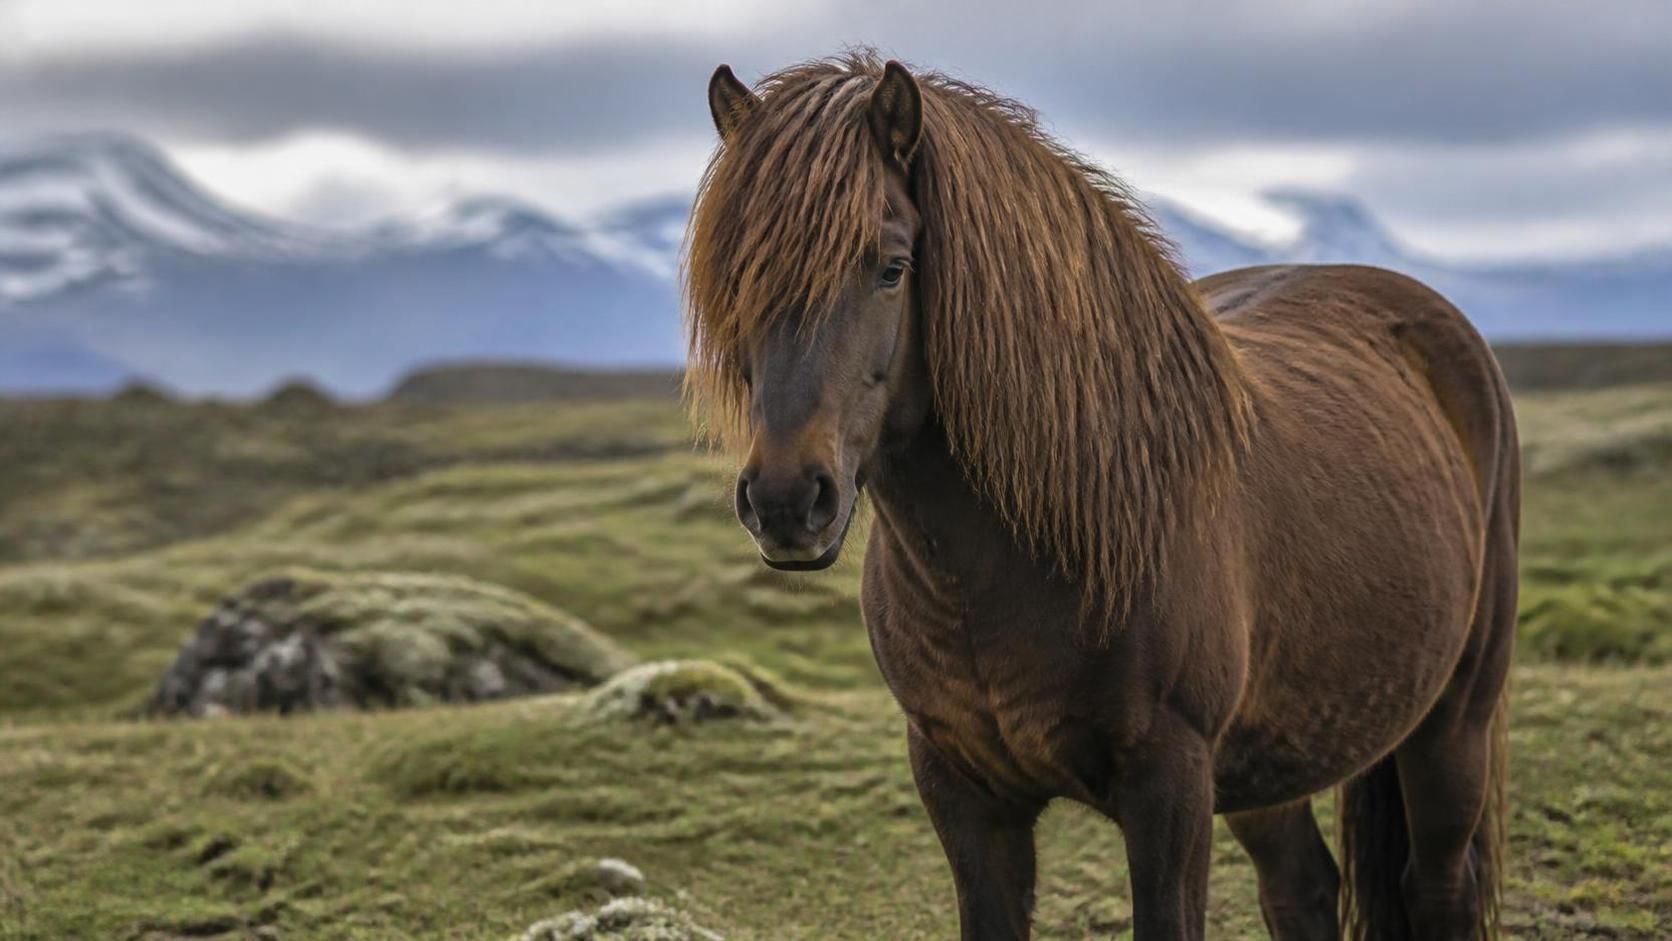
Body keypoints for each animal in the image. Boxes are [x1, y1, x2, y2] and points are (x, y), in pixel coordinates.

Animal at [683, 53, 1518, 941]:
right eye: (732, 276)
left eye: (892, 266)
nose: (785, 500)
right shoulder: (962, 790)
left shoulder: (1170, 788)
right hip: (1273, 759)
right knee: (1302, 886)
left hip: (1451, 723)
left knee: (1440, 885)